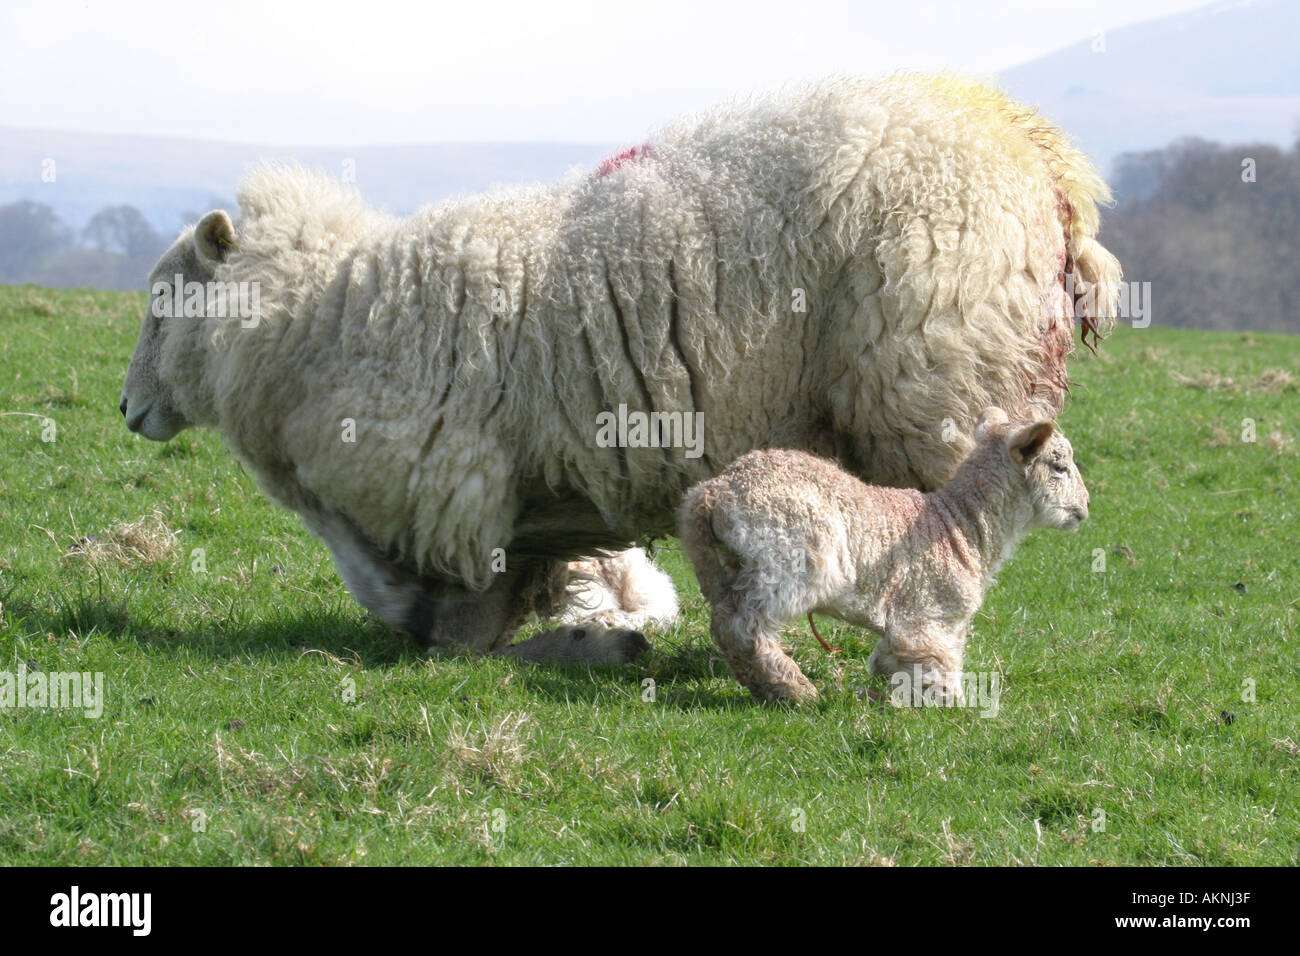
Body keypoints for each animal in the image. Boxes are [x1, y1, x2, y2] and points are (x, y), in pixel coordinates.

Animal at [120, 74, 1118, 665]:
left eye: (164, 296)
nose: (127, 408)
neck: (322, 314)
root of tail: (1040, 152)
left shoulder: (452, 483)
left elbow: (448, 615)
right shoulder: (509, 500)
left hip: (932, 386)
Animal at [678, 408, 1090, 704]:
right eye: (1059, 467)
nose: (1085, 508)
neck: (961, 526)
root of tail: (713, 494)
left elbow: (894, 663)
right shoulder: (926, 616)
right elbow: (934, 670)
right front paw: (950, 705)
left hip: (719, 564)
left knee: (725, 618)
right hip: (789, 558)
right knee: (740, 624)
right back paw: (793, 689)